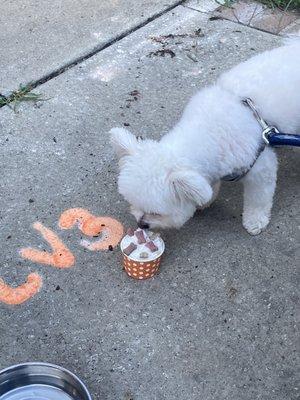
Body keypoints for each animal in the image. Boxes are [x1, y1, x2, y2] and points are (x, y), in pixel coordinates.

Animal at [110, 38, 300, 234]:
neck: (209, 131)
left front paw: (255, 220)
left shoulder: (260, 168)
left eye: (156, 213)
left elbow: (258, 199)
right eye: (132, 203)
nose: (142, 224)